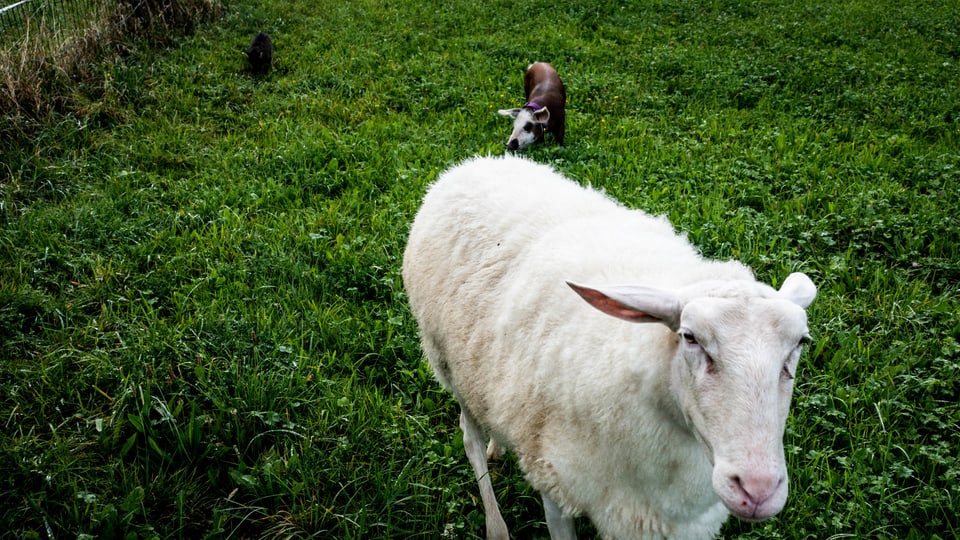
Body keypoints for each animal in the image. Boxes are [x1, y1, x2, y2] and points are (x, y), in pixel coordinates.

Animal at [402, 154, 812, 536]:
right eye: (690, 337)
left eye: (800, 342)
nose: (757, 490)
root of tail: (472, 164)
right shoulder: (555, 482)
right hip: (447, 361)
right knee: (469, 437)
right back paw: (495, 524)